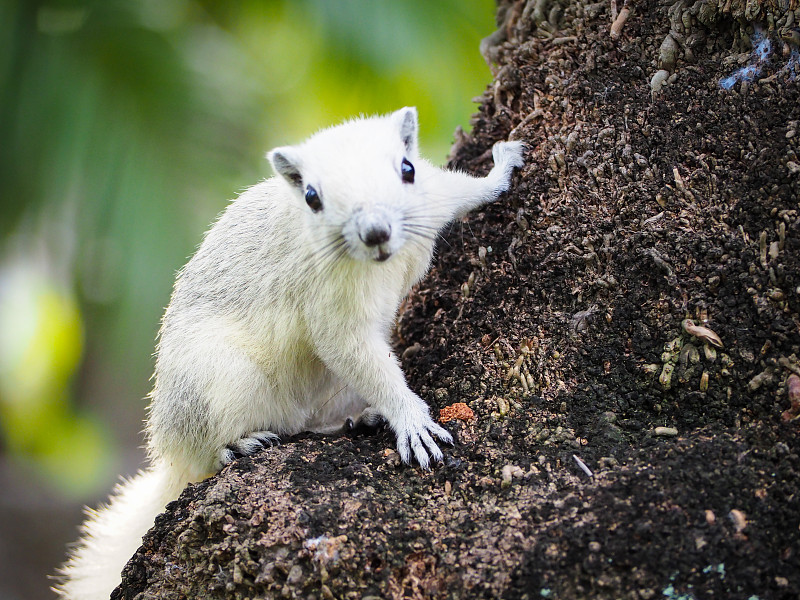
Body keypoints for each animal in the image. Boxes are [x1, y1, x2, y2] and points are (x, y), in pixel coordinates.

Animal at [56, 108, 524, 600]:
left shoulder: (430, 199)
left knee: (310, 423)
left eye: (407, 169)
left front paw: (502, 165)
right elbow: (349, 348)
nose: (375, 232)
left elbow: (463, 190)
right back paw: (238, 445)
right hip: (221, 381)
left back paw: (358, 418)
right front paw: (411, 420)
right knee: (211, 453)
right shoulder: (330, 303)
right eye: (312, 197)